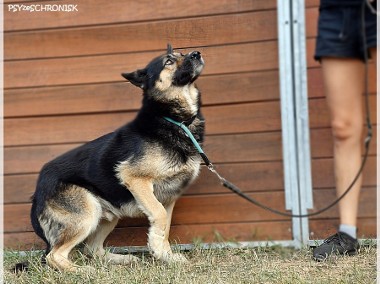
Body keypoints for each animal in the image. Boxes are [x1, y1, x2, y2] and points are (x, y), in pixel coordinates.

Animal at [27, 43, 205, 270]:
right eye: (168, 61)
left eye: (183, 54)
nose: (197, 53)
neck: (172, 118)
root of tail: (38, 190)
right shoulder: (135, 179)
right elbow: (159, 215)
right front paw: (156, 248)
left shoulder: (169, 198)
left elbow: (165, 224)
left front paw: (166, 256)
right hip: (88, 212)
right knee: (54, 256)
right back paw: (82, 271)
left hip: (108, 215)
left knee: (92, 250)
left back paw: (122, 259)